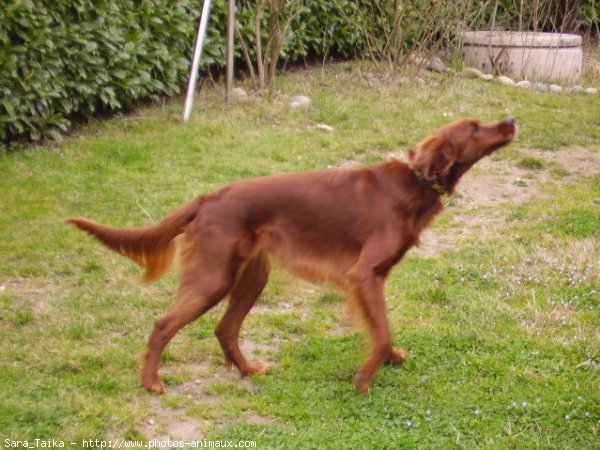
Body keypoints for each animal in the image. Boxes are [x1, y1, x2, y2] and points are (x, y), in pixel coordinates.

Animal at [67, 118, 516, 394]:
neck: (417, 182)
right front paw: (365, 379)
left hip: (252, 275)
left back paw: (249, 370)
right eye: (475, 128)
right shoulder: (363, 275)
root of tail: (208, 198)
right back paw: (151, 382)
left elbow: (384, 328)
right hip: (214, 277)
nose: (510, 120)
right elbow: (383, 329)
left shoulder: (373, 279)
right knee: (163, 325)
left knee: (225, 329)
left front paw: (388, 360)